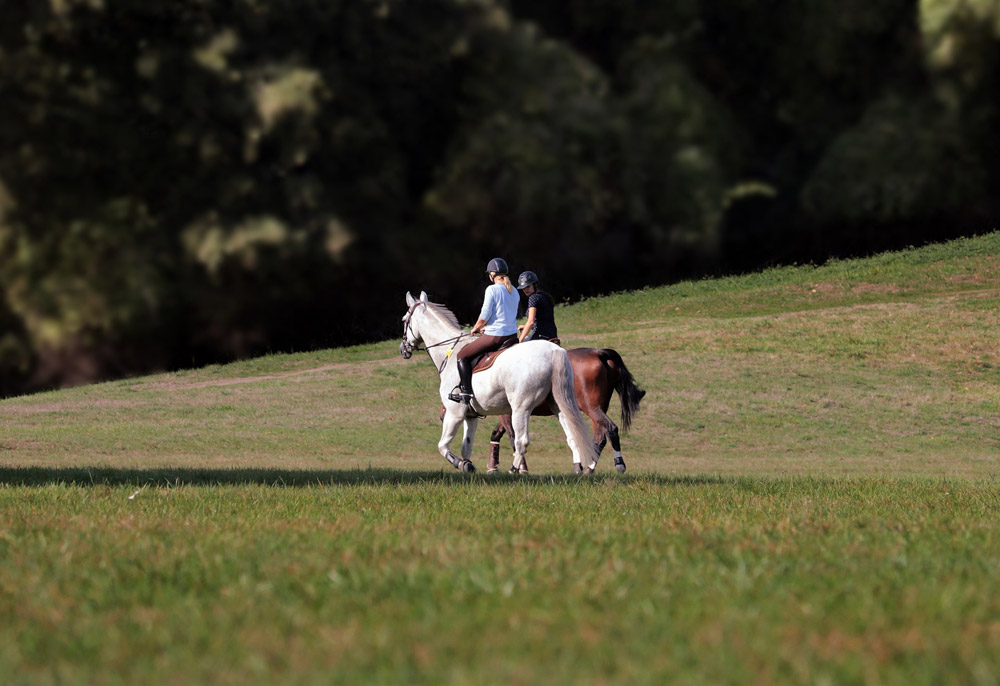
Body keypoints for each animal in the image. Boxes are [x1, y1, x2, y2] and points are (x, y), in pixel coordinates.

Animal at [400, 291, 598, 473]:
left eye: (404, 320)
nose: (403, 349)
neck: (450, 352)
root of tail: (553, 350)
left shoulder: (454, 413)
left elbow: (442, 446)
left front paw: (459, 464)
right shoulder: (471, 416)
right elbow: (466, 446)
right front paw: (468, 465)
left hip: (520, 409)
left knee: (521, 440)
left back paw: (513, 470)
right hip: (558, 404)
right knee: (572, 434)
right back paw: (578, 469)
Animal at [487, 348, 645, 475]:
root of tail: (598, 352)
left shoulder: (509, 413)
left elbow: (512, 438)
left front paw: (520, 468)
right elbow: (496, 434)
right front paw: (493, 467)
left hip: (592, 408)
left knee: (611, 428)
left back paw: (615, 464)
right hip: (598, 409)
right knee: (600, 436)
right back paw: (589, 467)